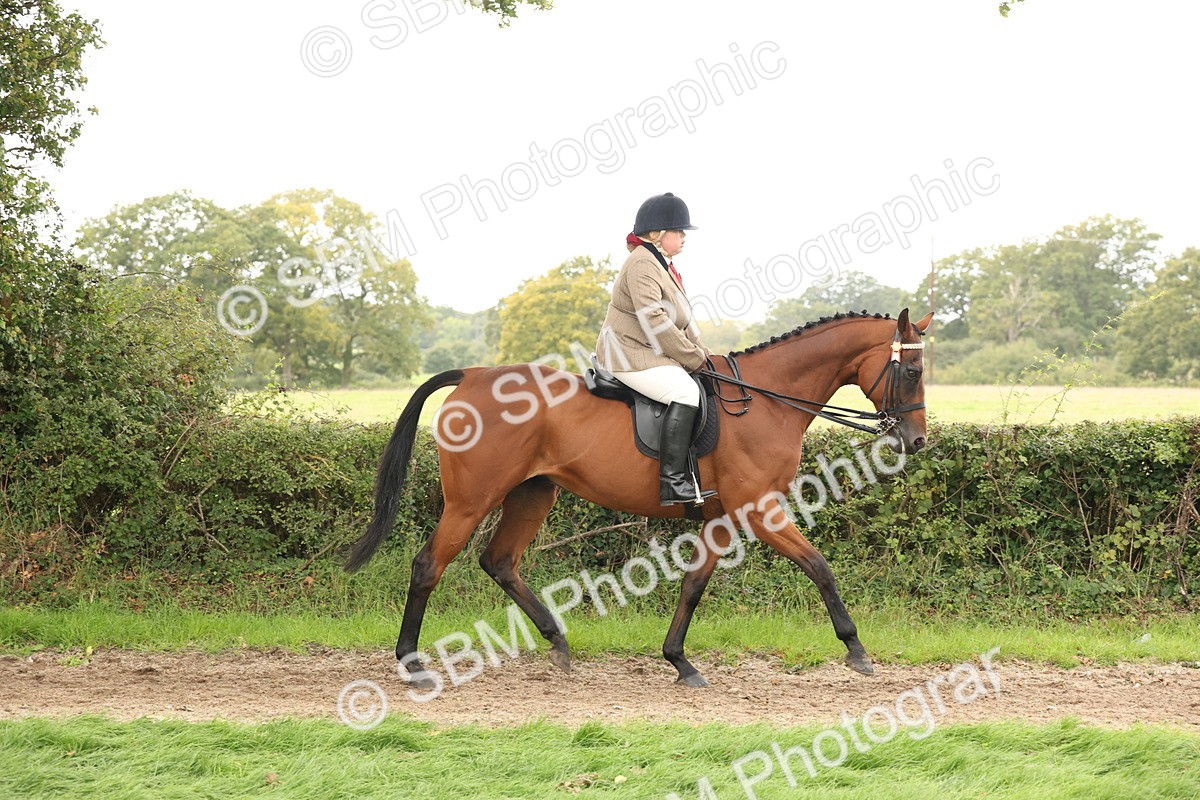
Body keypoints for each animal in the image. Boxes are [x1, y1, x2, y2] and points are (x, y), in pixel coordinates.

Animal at [347, 308, 933, 688]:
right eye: (911, 370)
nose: (916, 441)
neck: (768, 399)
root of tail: (472, 374)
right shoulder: (760, 511)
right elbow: (819, 566)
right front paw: (856, 649)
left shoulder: (723, 516)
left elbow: (694, 584)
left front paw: (679, 661)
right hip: (472, 501)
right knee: (429, 565)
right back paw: (413, 665)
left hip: (533, 495)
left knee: (500, 561)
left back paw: (558, 644)